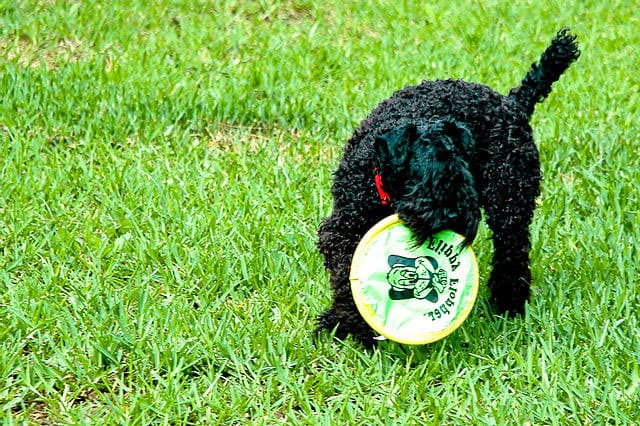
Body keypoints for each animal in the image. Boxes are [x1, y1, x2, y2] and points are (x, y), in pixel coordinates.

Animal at [316, 29, 580, 346]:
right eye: (426, 179)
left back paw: (508, 306)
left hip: (510, 201)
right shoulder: (341, 231)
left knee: (511, 253)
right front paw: (346, 325)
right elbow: (346, 278)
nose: (455, 216)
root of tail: (513, 103)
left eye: (464, 174)